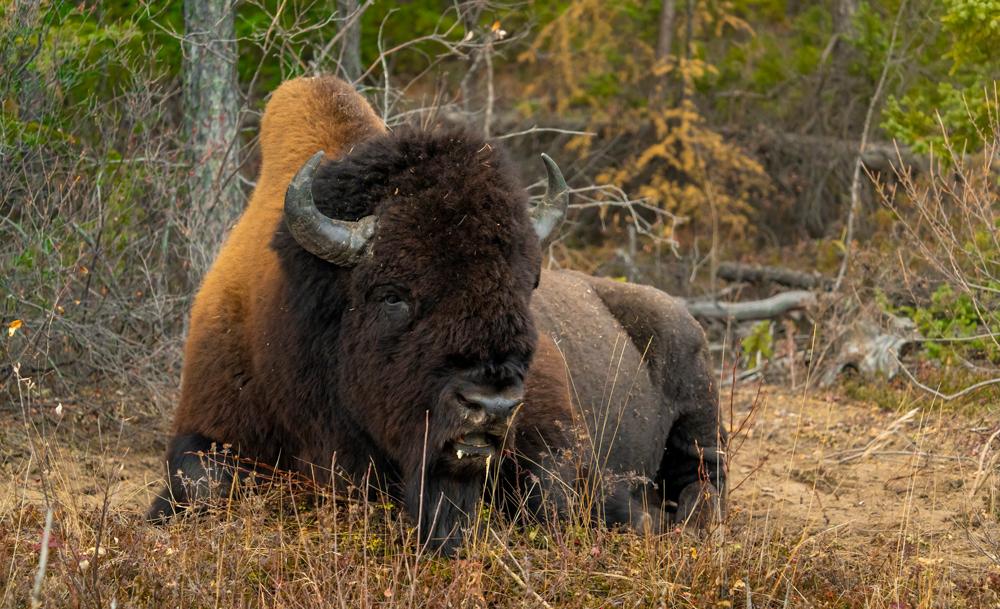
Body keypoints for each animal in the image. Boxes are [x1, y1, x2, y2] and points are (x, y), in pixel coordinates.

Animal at [148, 76, 724, 552]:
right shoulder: (208, 424)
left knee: (704, 483)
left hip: (700, 418)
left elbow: (552, 497)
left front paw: (631, 513)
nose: (491, 406)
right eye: (392, 295)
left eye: (527, 285)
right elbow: (199, 484)